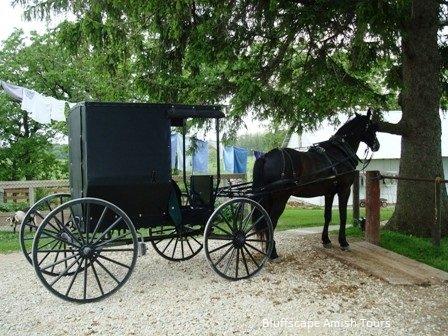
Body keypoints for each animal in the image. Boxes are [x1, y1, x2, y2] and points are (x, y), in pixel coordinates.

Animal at [252, 111, 378, 258]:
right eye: (371, 126)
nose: (377, 145)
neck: (339, 152)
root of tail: (266, 156)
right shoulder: (344, 190)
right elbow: (343, 215)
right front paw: (343, 242)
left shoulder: (329, 193)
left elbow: (327, 215)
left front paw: (326, 240)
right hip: (280, 198)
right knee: (271, 221)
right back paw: (272, 253)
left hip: (268, 198)